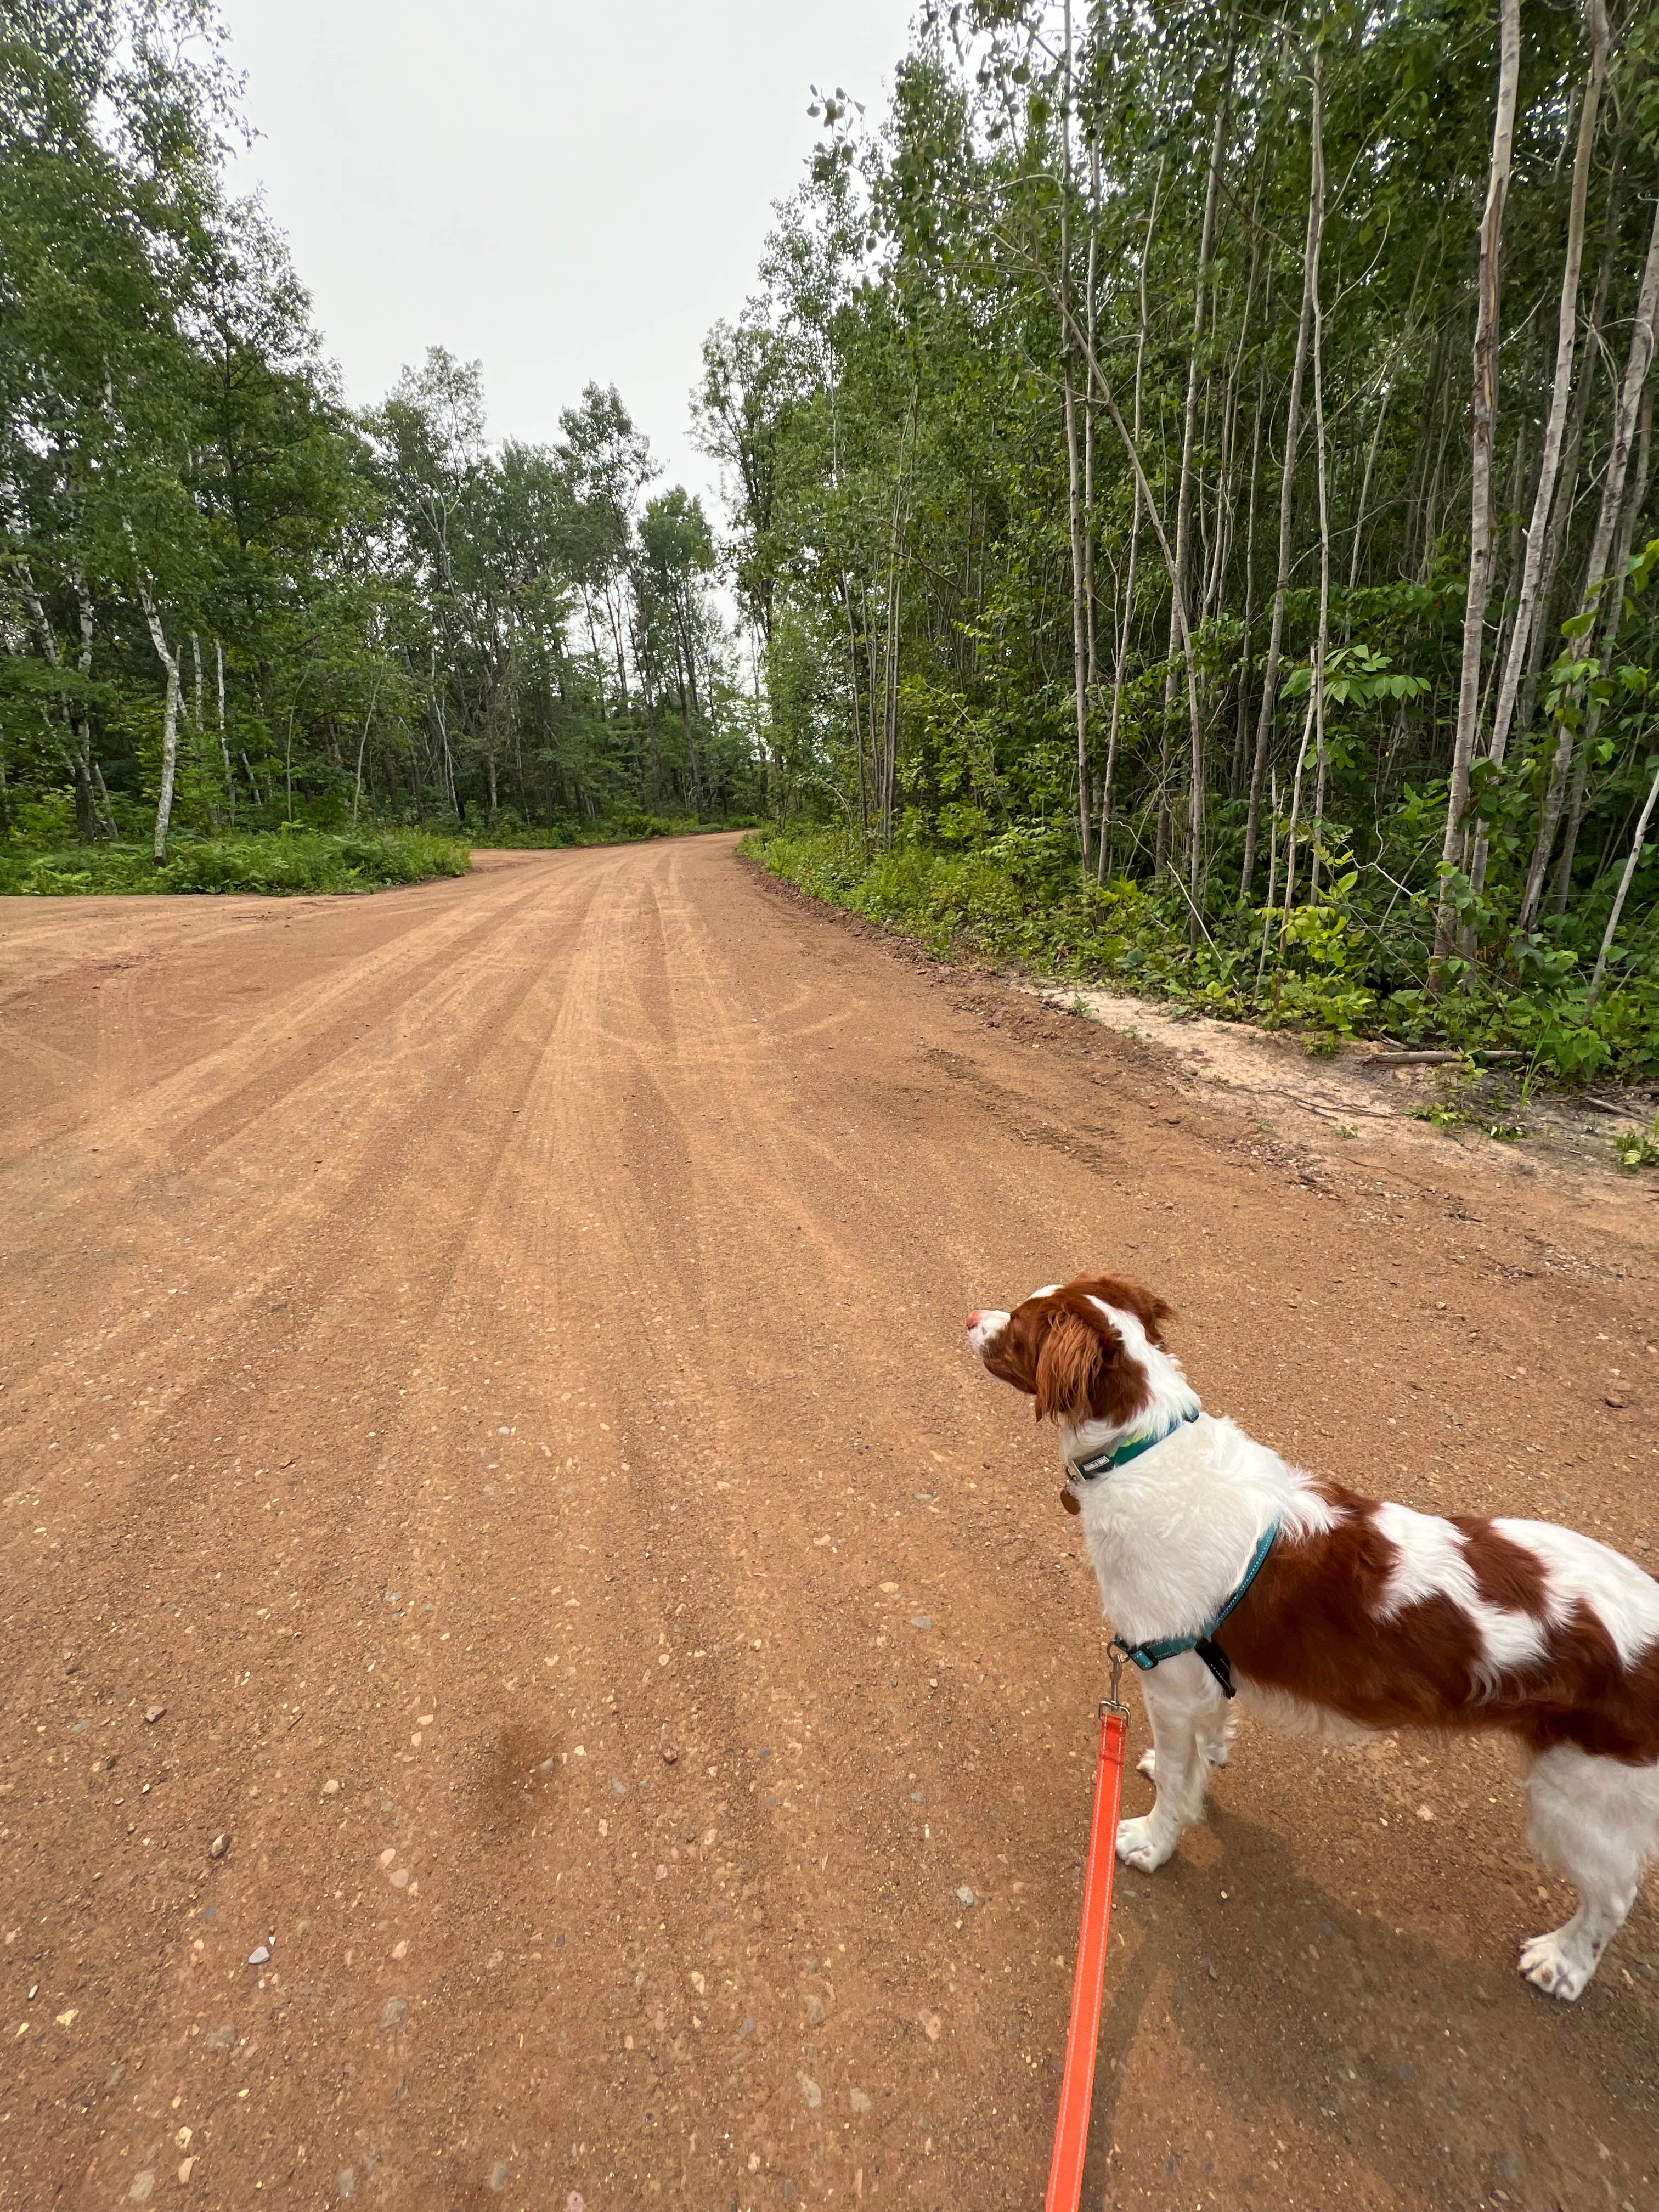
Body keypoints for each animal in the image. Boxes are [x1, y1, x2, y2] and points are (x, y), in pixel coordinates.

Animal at [969, 1274, 1654, 1999]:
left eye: (1019, 1325)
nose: (971, 1316)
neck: (1146, 1448)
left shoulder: (1170, 1677)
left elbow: (1179, 1782)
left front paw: (1154, 1841)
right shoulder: (1206, 1671)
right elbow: (1204, 1744)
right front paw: (1195, 1765)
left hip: (1579, 1799)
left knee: (1612, 1897)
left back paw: (1565, 1961)